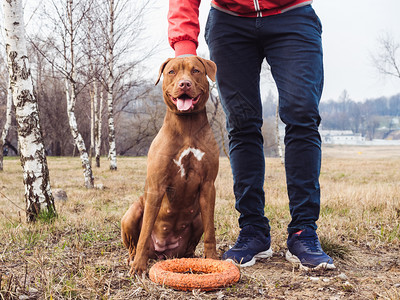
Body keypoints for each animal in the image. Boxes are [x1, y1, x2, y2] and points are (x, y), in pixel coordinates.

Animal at [122, 55, 219, 276]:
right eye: (172, 72)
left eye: (196, 71)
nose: (185, 84)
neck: (187, 126)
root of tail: (161, 253)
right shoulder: (156, 187)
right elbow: (145, 231)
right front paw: (138, 267)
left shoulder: (208, 186)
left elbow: (211, 231)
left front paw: (212, 259)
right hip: (132, 213)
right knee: (134, 243)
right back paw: (133, 259)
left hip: (198, 217)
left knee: (195, 238)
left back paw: (190, 258)